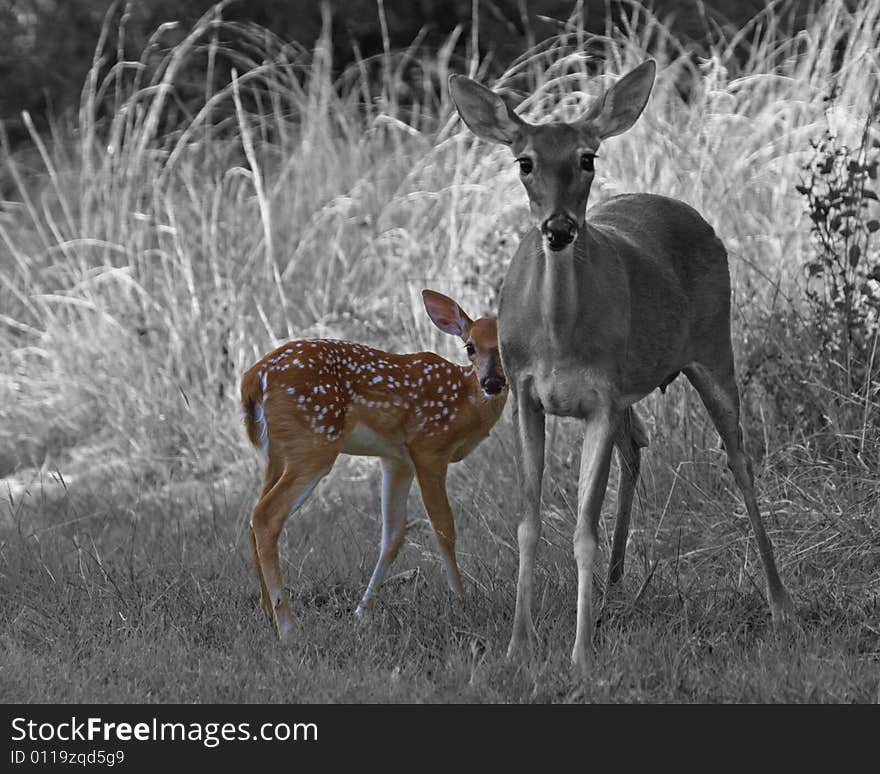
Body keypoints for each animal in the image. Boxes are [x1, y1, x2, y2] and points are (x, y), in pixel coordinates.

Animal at [241, 288, 506, 640]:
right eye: (470, 346)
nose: (493, 382)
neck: (464, 402)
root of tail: (253, 379)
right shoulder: (429, 448)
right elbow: (443, 527)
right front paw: (461, 600)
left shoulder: (395, 459)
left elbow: (392, 535)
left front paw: (361, 612)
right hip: (314, 444)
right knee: (266, 516)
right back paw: (287, 626)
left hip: (275, 455)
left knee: (253, 518)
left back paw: (266, 613)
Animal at [446, 60, 796, 676]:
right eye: (524, 162)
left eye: (587, 158)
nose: (559, 229)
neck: (559, 335)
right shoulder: (527, 395)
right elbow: (528, 524)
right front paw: (519, 646)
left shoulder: (602, 398)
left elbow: (583, 529)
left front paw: (580, 655)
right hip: (635, 387)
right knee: (638, 444)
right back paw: (612, 591)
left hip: (714, 347)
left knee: (739, 459)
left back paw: (780, 605)